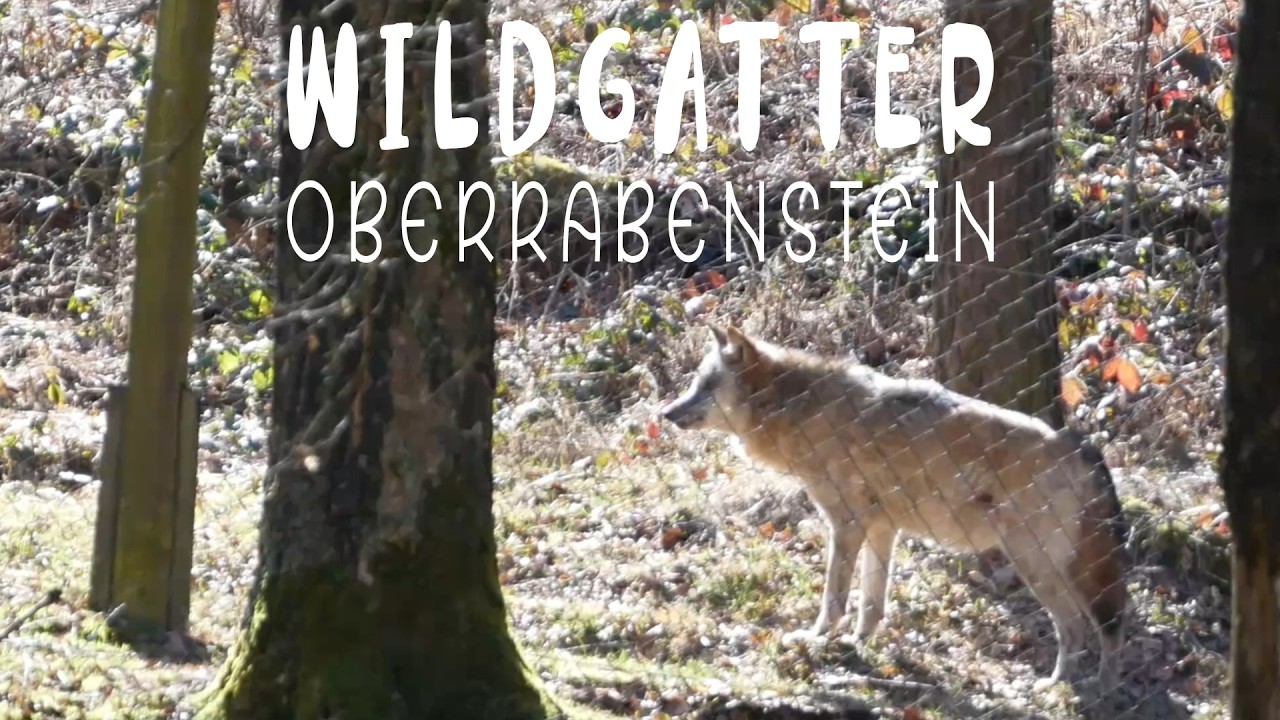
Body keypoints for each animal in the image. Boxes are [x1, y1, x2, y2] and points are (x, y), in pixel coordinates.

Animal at [660, 324, 1129, 688]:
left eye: (706, 386)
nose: (665, 412)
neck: (797, 407)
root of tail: (1081, 444)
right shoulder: (882, 528)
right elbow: (871, 603)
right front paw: (857, 645)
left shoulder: (846, 525)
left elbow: (834, 598)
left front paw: (816, 640)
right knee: (1096, 627)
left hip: (1038, 564)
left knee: (1086, 627)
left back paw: (1077, 689)